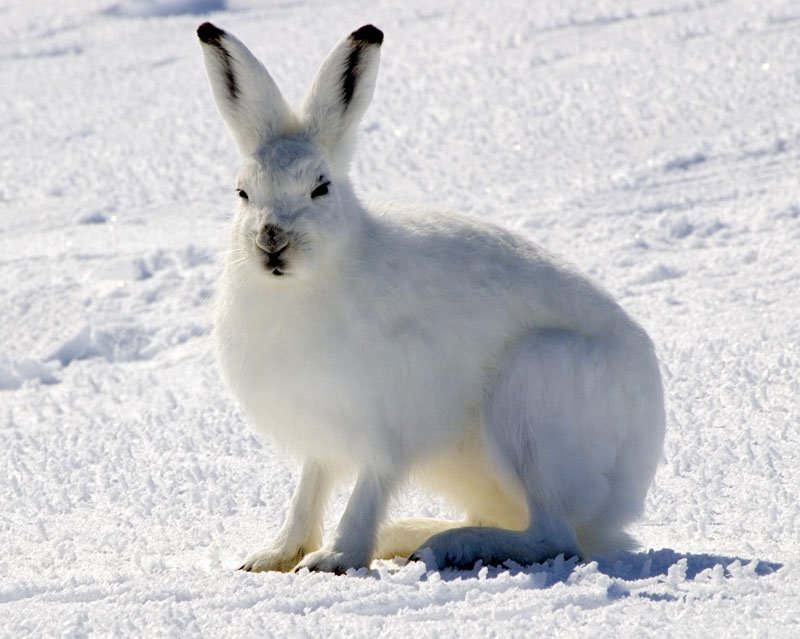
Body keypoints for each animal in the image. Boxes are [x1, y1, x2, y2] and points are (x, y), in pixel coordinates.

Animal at [197, 21, 666, 574]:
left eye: (321, 188)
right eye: (242, 193)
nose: (272, 240)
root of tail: (629, 489)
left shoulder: (389, 425)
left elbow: (368, 489)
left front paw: (335, 557)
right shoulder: (323, 433)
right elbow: (309, 489)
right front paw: (274, 555)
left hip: (533, 392)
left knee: (555, 536)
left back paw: (449, 546)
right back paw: (413, 535)